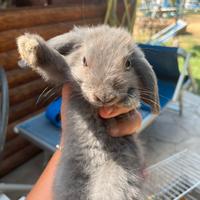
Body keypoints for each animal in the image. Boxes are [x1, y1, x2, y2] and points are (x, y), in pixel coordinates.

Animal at [16, 24, 159, 199]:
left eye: (128, 63)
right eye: (84, 60)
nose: (104, 96)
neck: (95, 106)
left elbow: (133, 96)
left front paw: (128, 100)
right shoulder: (66, 75)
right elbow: (55, 63)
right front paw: (29, 45)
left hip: (118, 179)